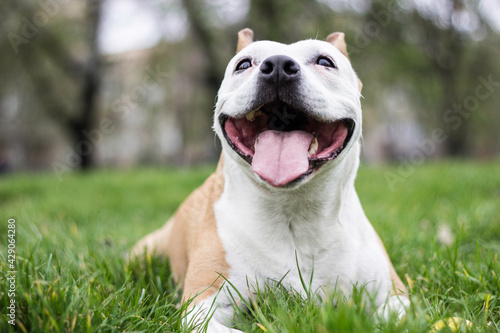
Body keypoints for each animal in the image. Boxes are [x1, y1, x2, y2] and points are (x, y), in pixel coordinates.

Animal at [131, 29, 408, 332]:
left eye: (325, 61)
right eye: (243, 64)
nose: (277, 65)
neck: (293, 211)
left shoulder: (396, 296)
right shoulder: (201, 307)